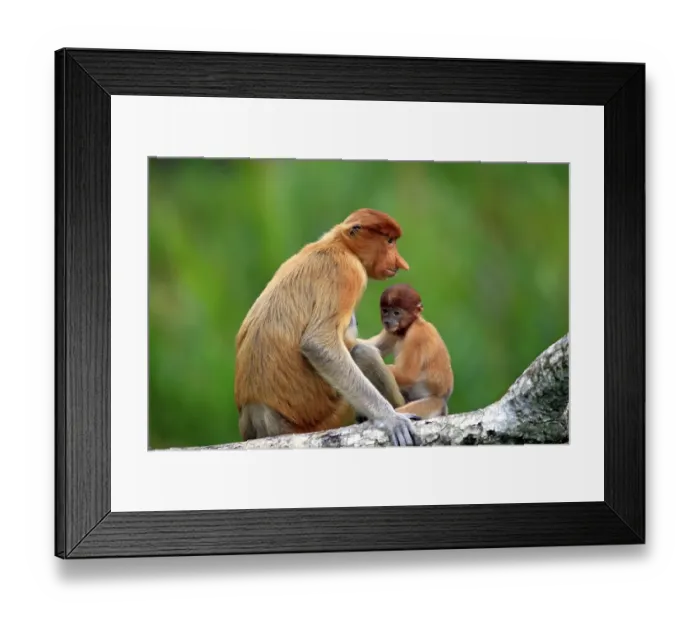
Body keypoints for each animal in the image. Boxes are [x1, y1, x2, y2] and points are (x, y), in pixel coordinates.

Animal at [234, 208, 421, 446]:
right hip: (330, 415)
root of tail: (260, 417)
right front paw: (392, 419)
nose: (400, 263)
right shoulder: (348, 272)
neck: (338, 244)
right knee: (362, 353)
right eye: (389, 241)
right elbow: (319, 345)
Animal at [357, 283, 454, 420]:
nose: (388, 321)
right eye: (385, 311)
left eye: (396, 313)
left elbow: (407, 374)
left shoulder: (417, 336)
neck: (410, 325)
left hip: (432, 404)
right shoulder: (393, 332)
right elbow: (372, 345)